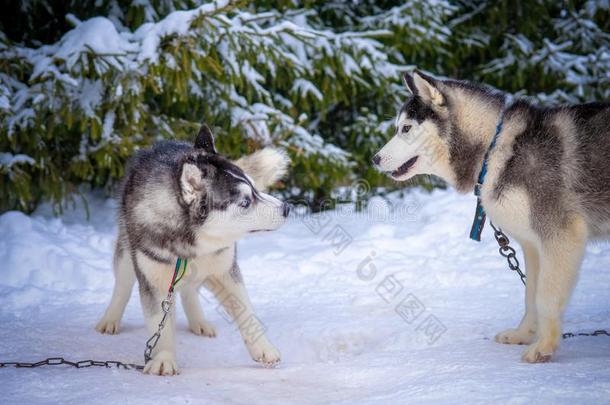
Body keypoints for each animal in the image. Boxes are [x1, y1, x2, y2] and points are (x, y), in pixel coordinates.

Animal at [95, 124, 290, 374]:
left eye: (255, 190)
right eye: (245, 202)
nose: (286, 208)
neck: (191, 241)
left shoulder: (225, 271)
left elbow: (247, 312)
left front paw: (263, 348)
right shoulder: (155, 281)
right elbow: (161, 326)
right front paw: (164, 359)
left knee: (189, 289)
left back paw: (199, 321)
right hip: (127, 256)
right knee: (122, 287)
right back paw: (110, 319)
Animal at [372, 70, 604, 362]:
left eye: (405, 128)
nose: (375, 159)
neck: (493, 150)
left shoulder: (560, 234)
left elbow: (546, 296)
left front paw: (543, 347)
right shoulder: (533, 245)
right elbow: (530, 295)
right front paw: (523, 334)